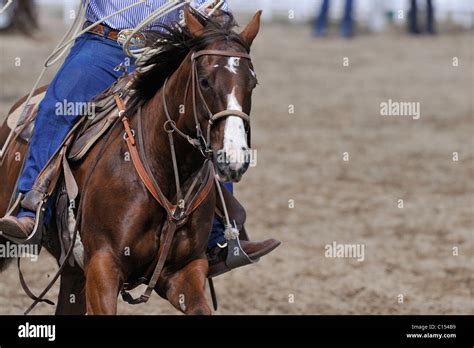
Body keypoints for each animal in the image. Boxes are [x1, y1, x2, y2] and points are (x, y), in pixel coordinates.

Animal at [0, 8, 262, 316]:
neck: (166, 174)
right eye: (205, 81)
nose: (234, 158)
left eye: (252, 83)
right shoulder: (103, 266)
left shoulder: (185, 270)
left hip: (73, 270)